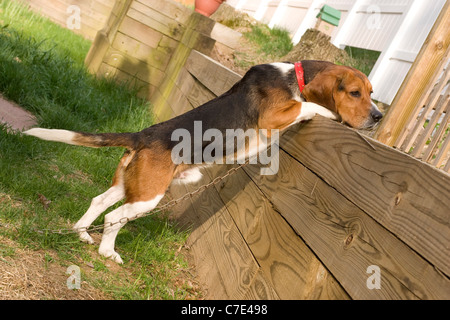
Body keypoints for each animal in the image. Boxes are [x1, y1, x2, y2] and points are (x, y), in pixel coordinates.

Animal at [24, 59, 382, 262]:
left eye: (372, 92)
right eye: (354, 93)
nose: (378, 117)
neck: (294, 76)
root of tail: (142, 135)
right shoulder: (273, 117)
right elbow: (308, 106)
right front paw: (327, 113)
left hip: (131, 185)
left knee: (99, 201)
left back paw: (82, 233)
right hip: (148, 197)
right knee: (114, 218)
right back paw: (107, 252)